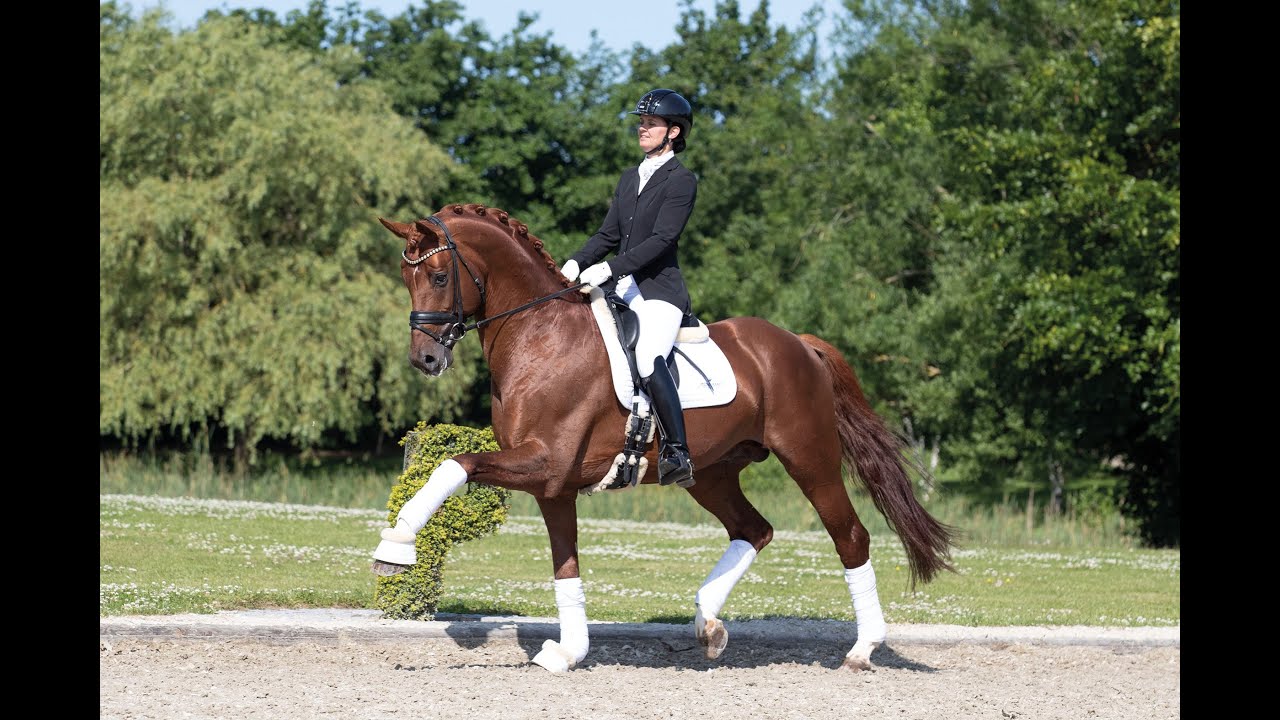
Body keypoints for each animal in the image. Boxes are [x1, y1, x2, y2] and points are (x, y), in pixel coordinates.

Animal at [370, 203, 956, 672]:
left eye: (439, 276)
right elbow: (566, 567)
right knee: (754, 529)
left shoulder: (545, 462)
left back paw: (861, 649)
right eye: (405, 276)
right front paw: (569, 652)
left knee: (849, 537)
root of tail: (798, 343)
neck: (541, 335)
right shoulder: (552, 485)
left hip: (810, 460)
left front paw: (396, 545)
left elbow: (457, 465)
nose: (425, 359)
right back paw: (708, 624)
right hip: (711, 474)